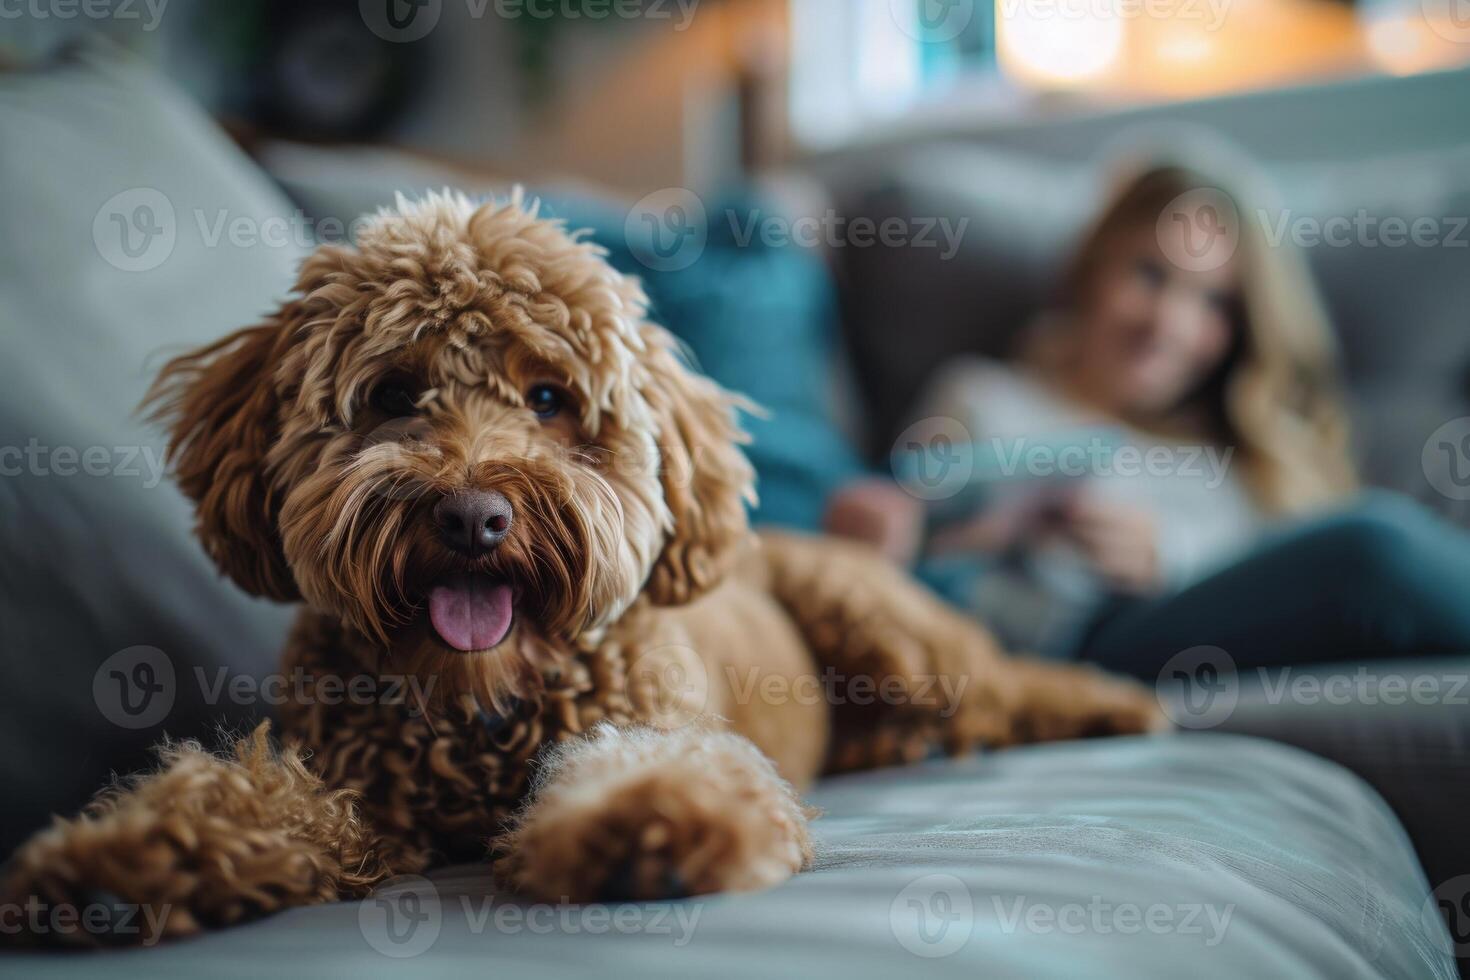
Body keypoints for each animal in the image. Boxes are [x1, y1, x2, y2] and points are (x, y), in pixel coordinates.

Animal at [0, 188, 1158, 946]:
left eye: (550, 397)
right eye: (393, 394)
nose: (472, 515)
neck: (475, 705)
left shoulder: (652, 718)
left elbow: (659, 766)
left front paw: (647, 826)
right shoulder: (347, 784)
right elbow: (257, 801)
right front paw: (119, 860)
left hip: (890, 631)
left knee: (1000, 687)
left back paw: (1108, 704)